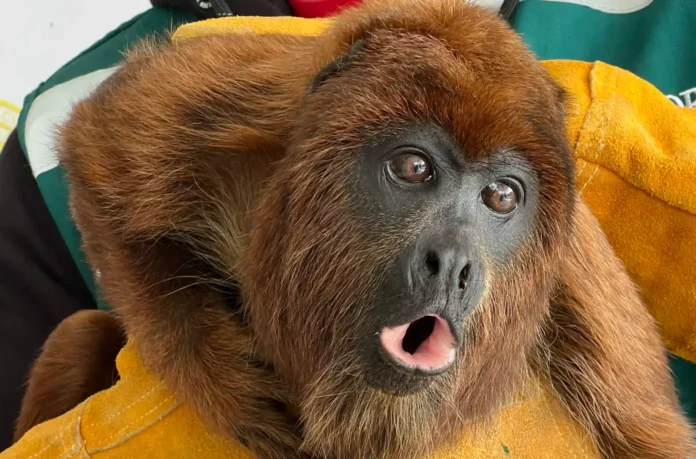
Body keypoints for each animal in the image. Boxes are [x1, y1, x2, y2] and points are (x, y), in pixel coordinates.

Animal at [12, 0, 696, 457]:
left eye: (501, 196)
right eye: (414, 168)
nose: (454, 263)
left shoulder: (583, 285)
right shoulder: (226, 103)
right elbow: (95, 150)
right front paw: (218, 377)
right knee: (80, 329)